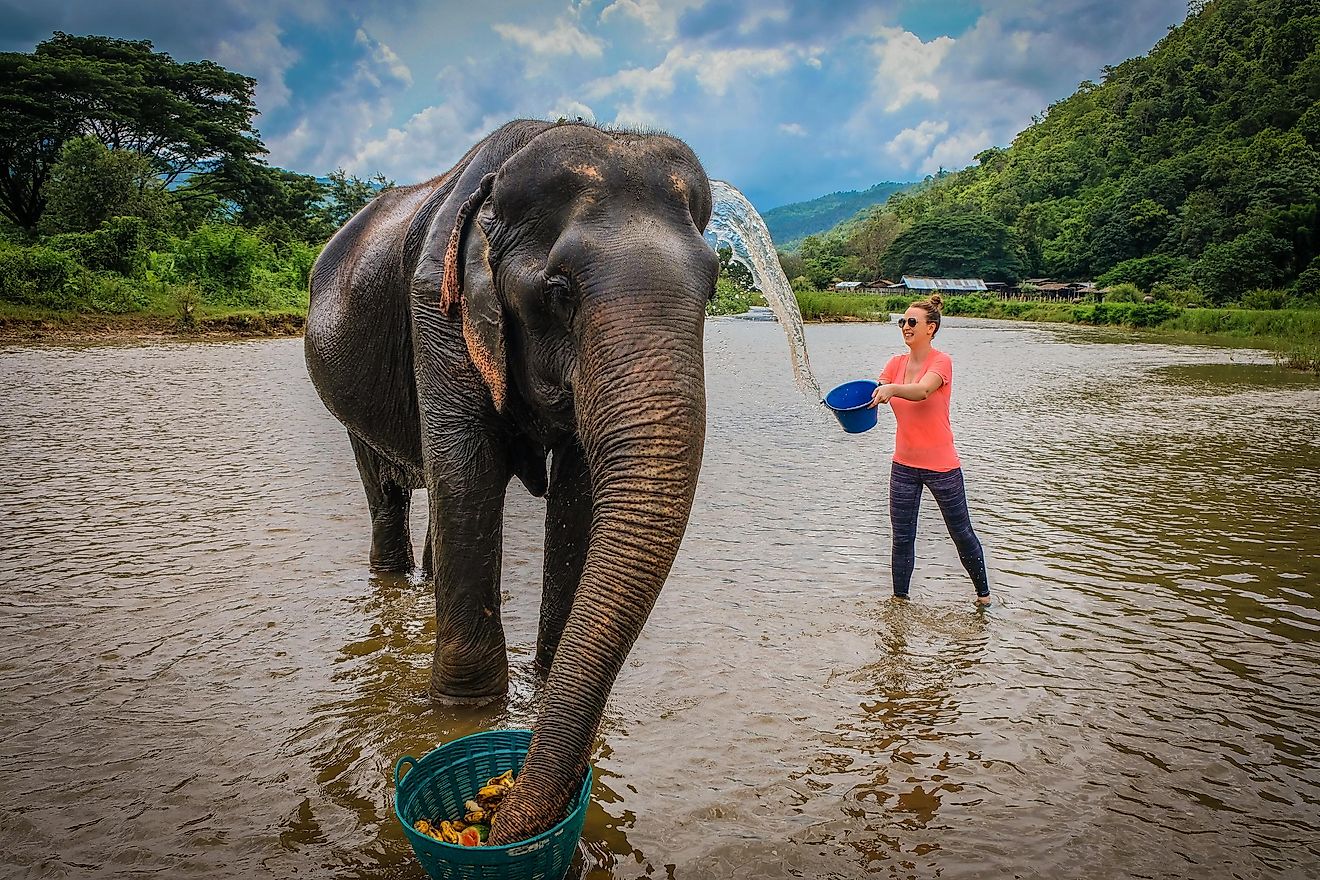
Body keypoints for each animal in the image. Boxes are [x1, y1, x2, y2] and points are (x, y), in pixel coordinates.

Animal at [303, 120, 718, 844]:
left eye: (716, 285)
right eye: (559, 290)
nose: (502, 825)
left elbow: (579, 495)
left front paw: (545, 678)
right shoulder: (436, 310)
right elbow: (469, 473)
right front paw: (464, 713)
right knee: (387, 490)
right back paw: (391, 575)